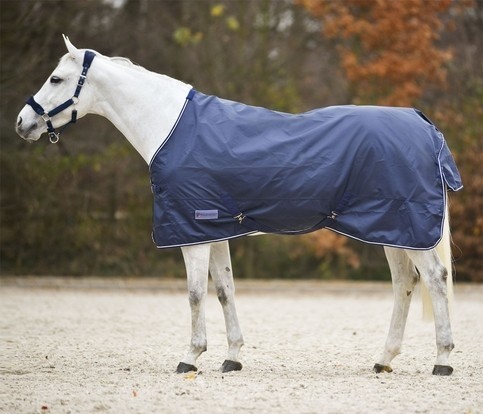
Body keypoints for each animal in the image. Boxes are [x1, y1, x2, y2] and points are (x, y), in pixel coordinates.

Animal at [15, 37, 462, 376]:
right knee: (404, 284)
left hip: (407, 229)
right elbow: (224, 291)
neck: (170, 126)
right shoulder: (214, 229)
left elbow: (195, 293)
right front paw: (232, 358)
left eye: (56, 78)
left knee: (435, 280)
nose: (22, 123)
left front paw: (190, 357)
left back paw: (442, 360)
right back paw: (384, 360)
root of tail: (424, 125)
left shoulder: (192, 232)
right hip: (394, 230)